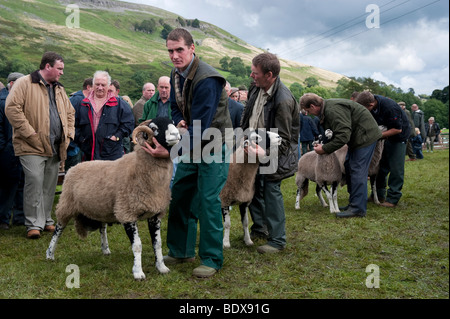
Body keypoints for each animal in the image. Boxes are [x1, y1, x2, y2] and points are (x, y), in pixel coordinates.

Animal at [45, 117, 179, 280]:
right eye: (154, 128)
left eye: (172, 122)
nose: (176, 134)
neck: (139, 167)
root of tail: (74, 167)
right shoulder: (127, 212)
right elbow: (137, 245)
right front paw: (138, 272)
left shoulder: (155, 214)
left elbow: (157, 243)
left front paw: (161, 267)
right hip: (66, 204)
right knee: (59, 228)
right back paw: (50, 254)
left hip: (100, 207)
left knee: (102, 228)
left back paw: (105, 249)